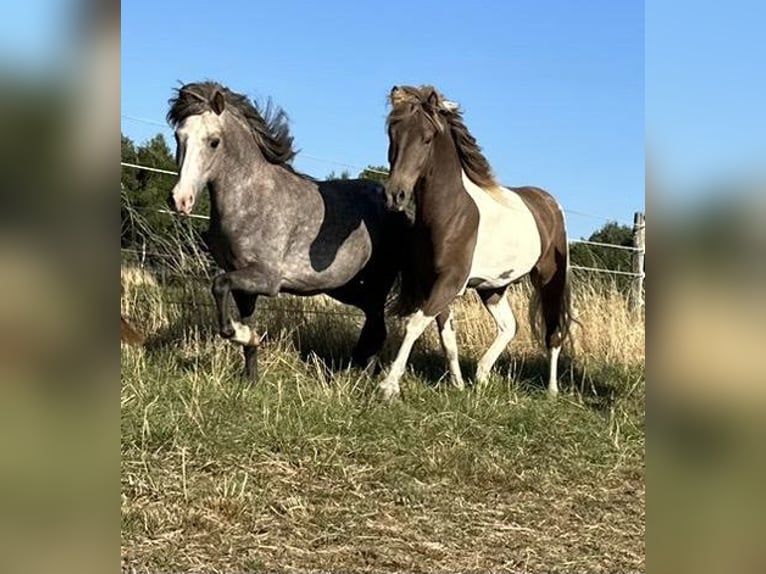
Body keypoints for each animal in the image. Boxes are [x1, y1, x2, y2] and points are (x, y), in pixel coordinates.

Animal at [166, 81, 409, 380]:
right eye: (178, 136)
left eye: (213, 141)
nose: (180, 200)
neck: (251, 199)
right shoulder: (242, 281)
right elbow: (244, 320)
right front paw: (250, 374)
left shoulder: (266, 278)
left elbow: (218, 286)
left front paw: (238, 333)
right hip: (346, 287)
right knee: (372, 325)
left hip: (376, 283)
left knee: (378, 328)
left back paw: (362, 378)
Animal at [379, 85, 574, 400]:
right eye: (392, 133)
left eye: (426, 137)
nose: (395, 195)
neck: (451, 212)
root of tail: (549, 202)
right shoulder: (432, 283)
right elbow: (446, 336)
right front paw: (457, 385)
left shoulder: (450, 282)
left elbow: (414, 324)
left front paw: (388, 386)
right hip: (493, 287)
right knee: (509, 326)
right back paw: (481, 376)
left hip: (548, 279)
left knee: (553, 333)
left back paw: (552, 390)